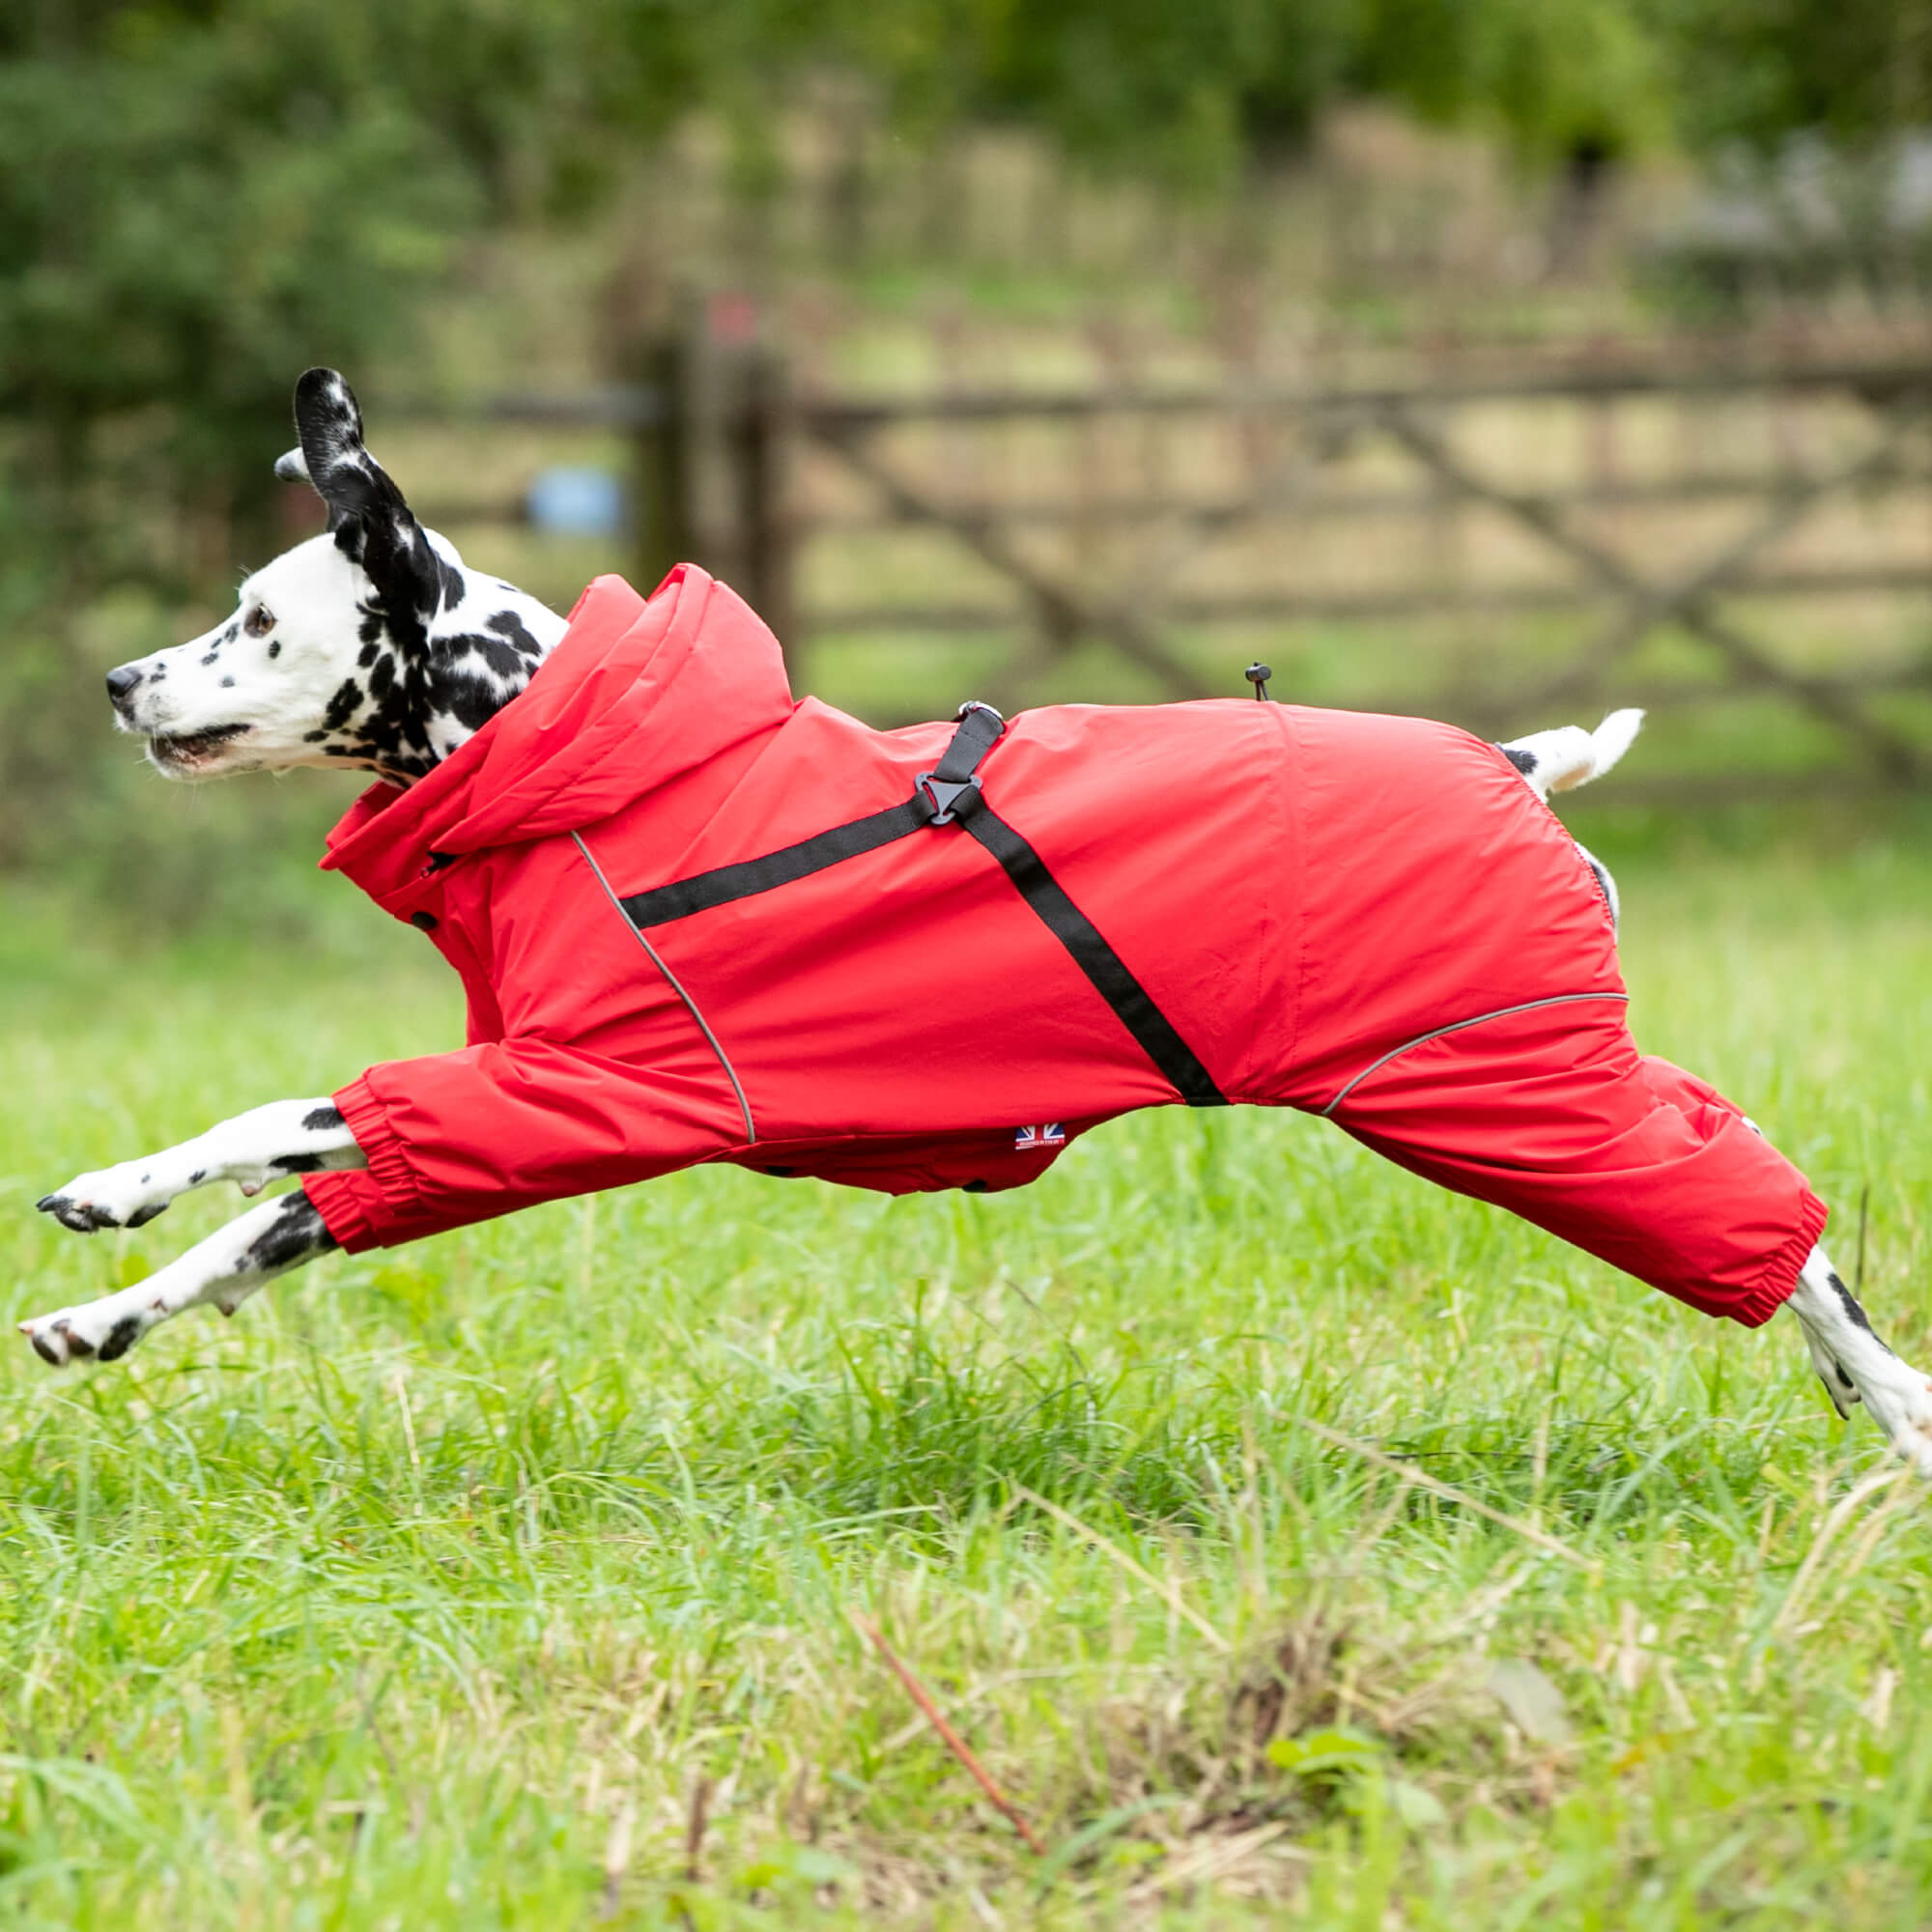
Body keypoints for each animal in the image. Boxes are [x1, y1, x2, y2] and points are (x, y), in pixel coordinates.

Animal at [14, 369, 1932, 1468]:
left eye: (260, 617)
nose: (116, 681)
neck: (574, 759)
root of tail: (1515, 767)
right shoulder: (505, 1119)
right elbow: (281, 1221)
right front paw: (114, 1312)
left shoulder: (586, 1084)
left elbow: (264, 1119)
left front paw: (111, 1186)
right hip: (1525, 1094)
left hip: (1527, 1103)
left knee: (1795, 1250)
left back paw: (1896, 1408)